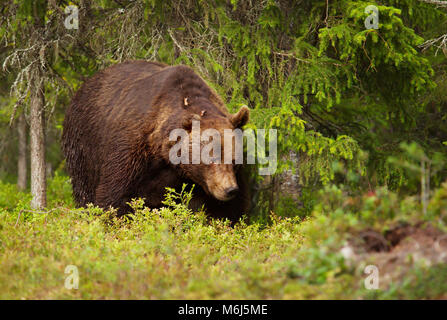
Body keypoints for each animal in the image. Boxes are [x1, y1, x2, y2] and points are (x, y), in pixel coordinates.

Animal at [62, 60, 252, 221]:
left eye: (234, 161)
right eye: (211, 159)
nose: (229, 190)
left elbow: (227, 211)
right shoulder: (132, 148)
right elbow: (115, 196)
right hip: (83, 144)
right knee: (84, 186)